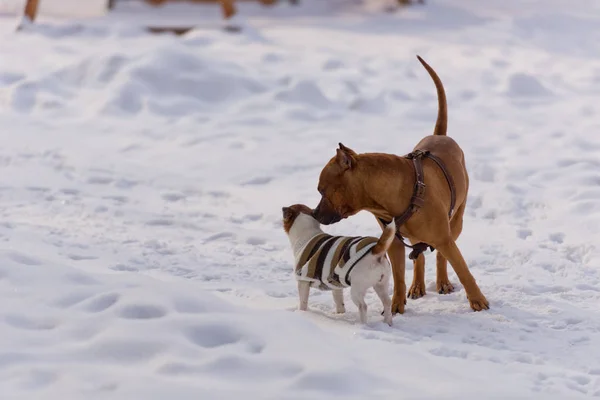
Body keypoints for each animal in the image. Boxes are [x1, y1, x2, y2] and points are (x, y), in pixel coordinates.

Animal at [312, 54, 490, 314]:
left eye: (322, 190)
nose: (314, 214)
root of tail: (440, 135)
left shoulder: (444, 237)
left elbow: (463, 271)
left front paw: (478, 301)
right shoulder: (393, 244)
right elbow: (398, 276)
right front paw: (395, 306)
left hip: (455, 222)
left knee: (441, 255)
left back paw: (443, 282)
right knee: (420, 255)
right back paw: (417, 286)